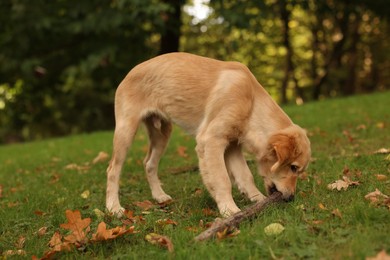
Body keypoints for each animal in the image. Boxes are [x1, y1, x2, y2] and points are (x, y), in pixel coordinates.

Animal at [106, 51, 310, 216]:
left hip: (162, 133)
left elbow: (245, 176)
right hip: (126, 129)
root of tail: (131, 71)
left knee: (149, 163)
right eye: (293, 167)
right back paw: (113, 208)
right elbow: (222, 179)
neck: (251, 102)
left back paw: (159, 196)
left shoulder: (232, 145)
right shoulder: (211, 141)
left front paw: (256, 200)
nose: (290, 198)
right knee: (113, 170)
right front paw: (229, 209)